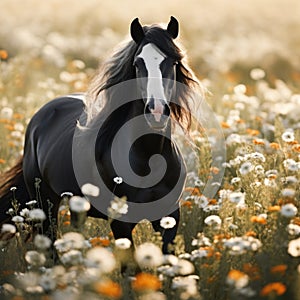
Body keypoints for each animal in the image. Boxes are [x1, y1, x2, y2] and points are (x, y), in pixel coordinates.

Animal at [0, 17, 202, 253]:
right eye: (138, 63)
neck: (149, 155)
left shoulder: (169, 217)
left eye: (174, 62)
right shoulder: (121, 223)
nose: (157, 111)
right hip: (43, 203)